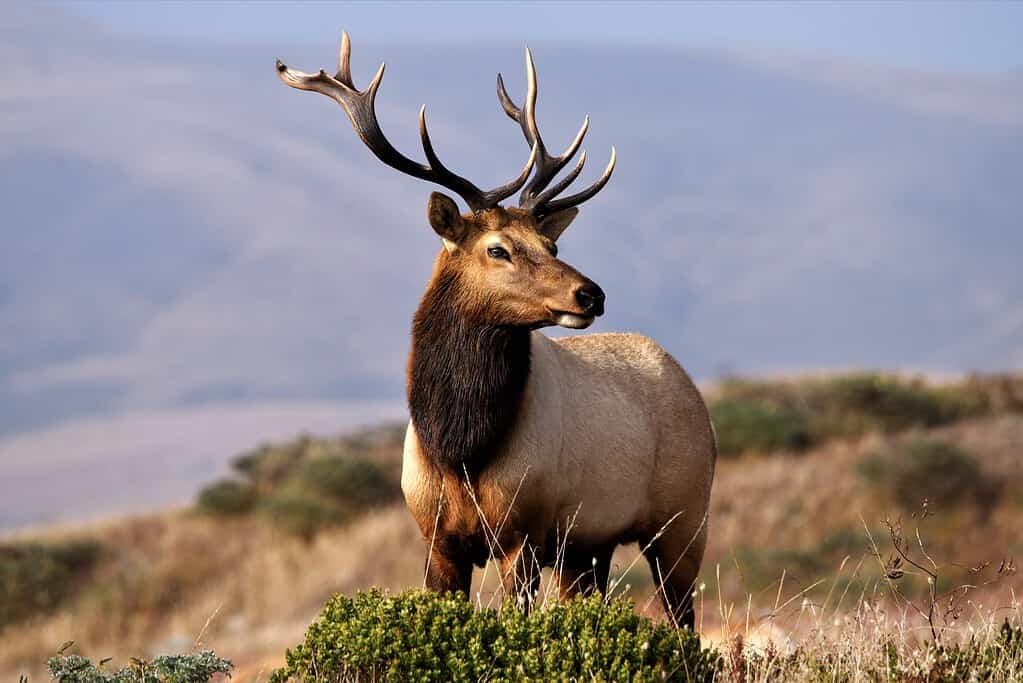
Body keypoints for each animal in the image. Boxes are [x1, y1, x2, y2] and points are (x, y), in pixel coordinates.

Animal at [276, 31, 716, 629]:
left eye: (551, 244)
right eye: (498, 249)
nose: (591, 294)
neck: (458, 447)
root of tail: (694, 392)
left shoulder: (521, 534)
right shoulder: (438, 541)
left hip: (683, 523)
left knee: (684, 623)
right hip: (588, 548)